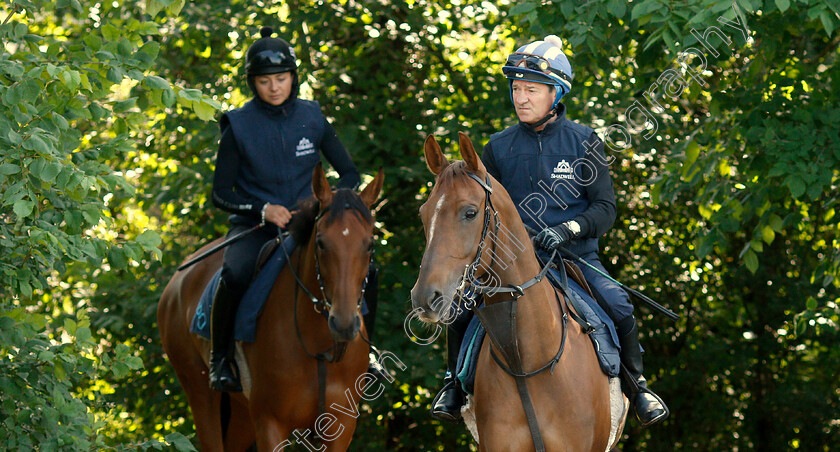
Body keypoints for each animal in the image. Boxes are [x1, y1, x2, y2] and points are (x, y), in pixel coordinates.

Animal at [158, 164, 384, 452]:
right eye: (321, 243)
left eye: (370, 245)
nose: (343, 324)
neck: (319, 348)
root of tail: (175, 284)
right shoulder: (270, 422)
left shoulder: (341, 426)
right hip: (201, 395)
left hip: (240, 415)